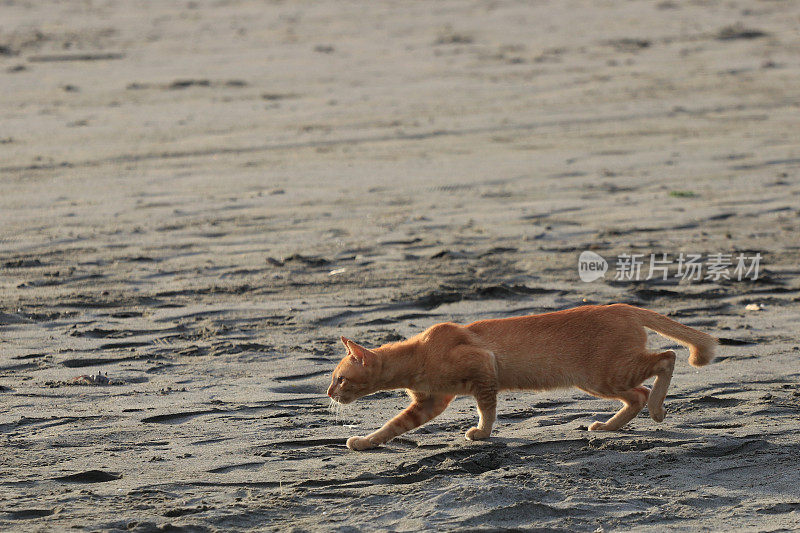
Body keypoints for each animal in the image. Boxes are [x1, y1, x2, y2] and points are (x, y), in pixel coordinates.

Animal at [326, 304, 720, 448]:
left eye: (340, 378)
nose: (328, 393)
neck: (419, 353)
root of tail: (622, 306)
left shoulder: (484, 366)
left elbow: (486, 408)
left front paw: (481, 434)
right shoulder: (430, 402)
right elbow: (394, 425)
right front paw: (364, 442)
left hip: (605, 373)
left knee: (667, 358)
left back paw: (657, 410)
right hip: (599, 380)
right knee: (638, 393)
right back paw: (609, 427)